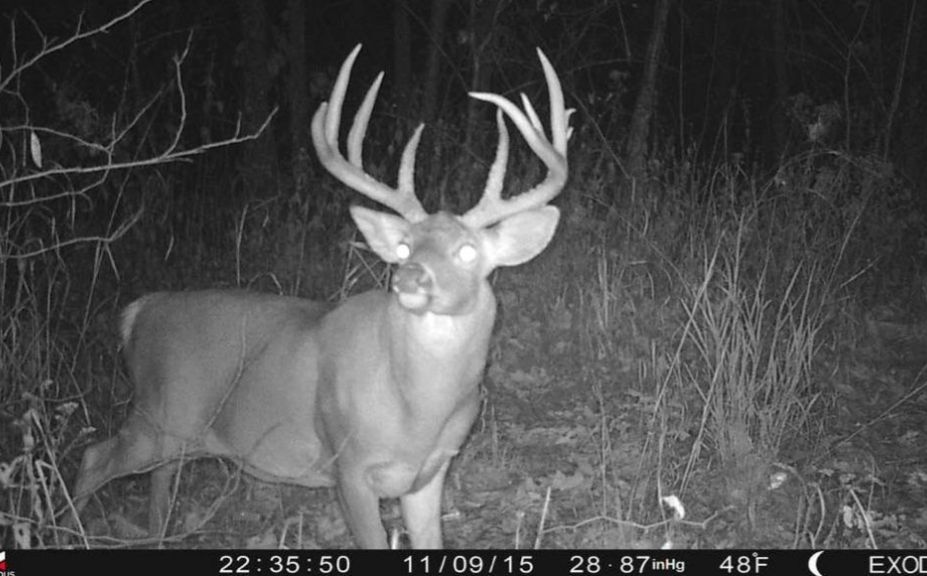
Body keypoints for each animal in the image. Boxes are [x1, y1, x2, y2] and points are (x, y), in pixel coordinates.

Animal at [69, 44, 571, 549]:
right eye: (405, 247)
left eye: (468, 251)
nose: (410, 278)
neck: (417, 412)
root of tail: (141, 310)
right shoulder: (347, 463)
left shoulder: (429, 475)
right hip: (161, 411)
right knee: (93, 458)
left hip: (177, 432)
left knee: (157, 475)